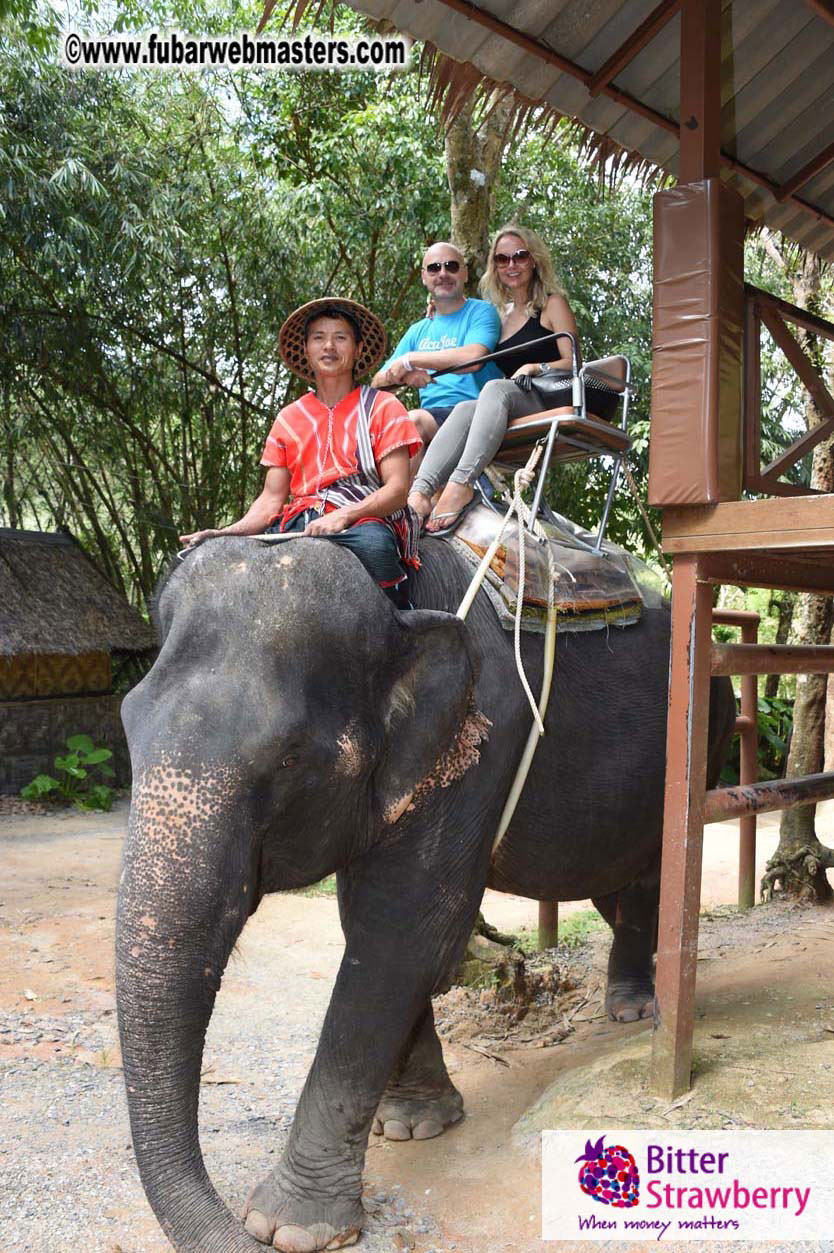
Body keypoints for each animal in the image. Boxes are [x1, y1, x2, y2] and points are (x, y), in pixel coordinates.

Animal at [117, 532, 735, 1252]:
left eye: (290, 758)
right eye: (127, 723)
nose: (238, 1227)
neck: (396, 604)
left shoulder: (481, 736)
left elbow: (406, 929)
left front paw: (291, 1226)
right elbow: (369, 925)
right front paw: (415, 1124)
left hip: (706, 726)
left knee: (653, 868)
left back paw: (637, 1011)